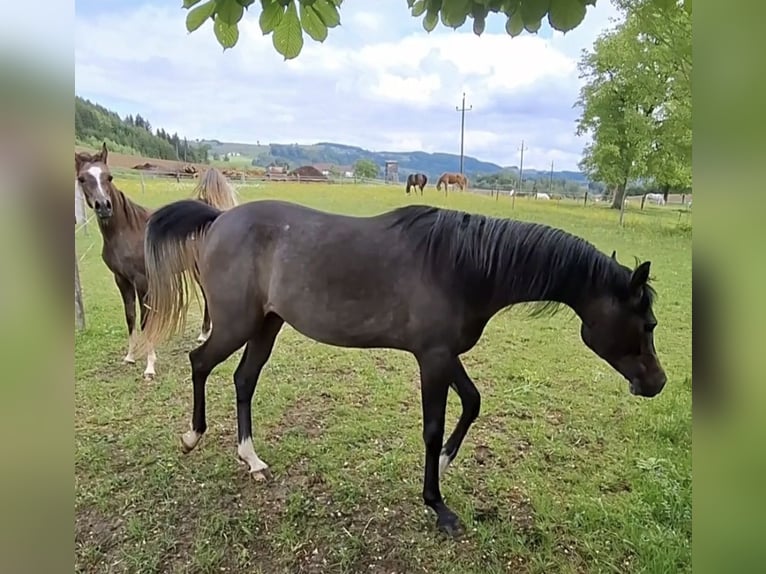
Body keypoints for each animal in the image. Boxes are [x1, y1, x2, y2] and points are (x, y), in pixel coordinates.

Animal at [141, 201, 668, 540]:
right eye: (647, 323)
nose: (657, 382)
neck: (464, 265)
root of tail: (219, 219)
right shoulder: (432, 358)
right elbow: (433, 427)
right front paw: (438, 505)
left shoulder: (444, 355)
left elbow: (472, 402)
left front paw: (446, 464)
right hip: (236, 324)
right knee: (199, 363)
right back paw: (191, 436)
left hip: (266, 325)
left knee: (243, 380)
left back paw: (250, 458)